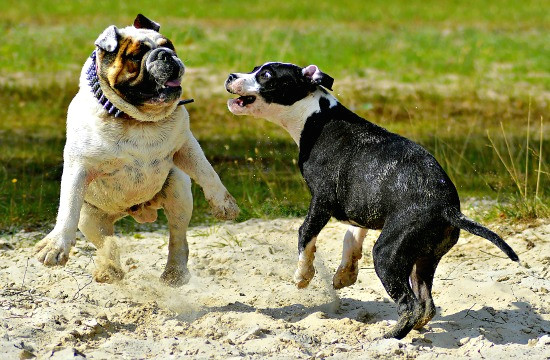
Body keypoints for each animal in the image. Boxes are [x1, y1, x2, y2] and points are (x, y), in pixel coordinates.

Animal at [225, 62, 520, 340]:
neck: (316, 115)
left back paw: (389, 338)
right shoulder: (363, 203)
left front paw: (303, 275)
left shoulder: (321, 200)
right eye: (254, 69)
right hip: (423, 261)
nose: (230, 76)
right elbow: (351, 238)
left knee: (409, 305)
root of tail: (448, 209)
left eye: (266, 76)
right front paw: (345, 274)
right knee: (426, 305)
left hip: (387, 255)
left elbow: (306, 234)